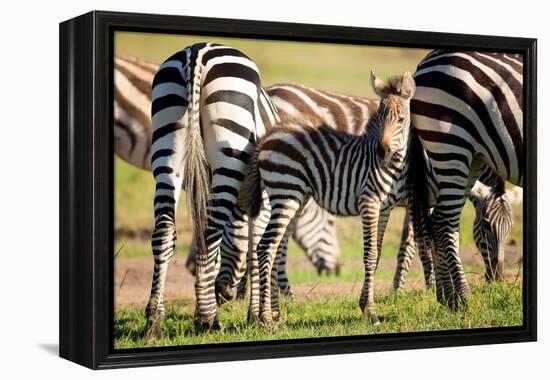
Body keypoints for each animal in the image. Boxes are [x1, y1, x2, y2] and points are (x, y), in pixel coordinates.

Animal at [248, 72, 416, 326]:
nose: (382, 152)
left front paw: (365, 305)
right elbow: (370, 255)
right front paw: (372, 313)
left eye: (402, 120)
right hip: (285, 193)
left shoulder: (385, 208)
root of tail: (269, 137)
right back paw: (266, 318)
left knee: (275, 247)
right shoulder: (369, 202)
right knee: (265, 246)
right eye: (378, 119)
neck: (393, 167)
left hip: (297, 197)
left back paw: (274, 316)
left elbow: (377, 254)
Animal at [410, 49, 528, 308]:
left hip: (471, 158)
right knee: (444, 223)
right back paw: (462, 298)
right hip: (451, 144)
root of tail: (424, 61)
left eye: (510, 228)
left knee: (440, 222)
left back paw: (448, 298)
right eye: (485, 226)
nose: (496, 278)